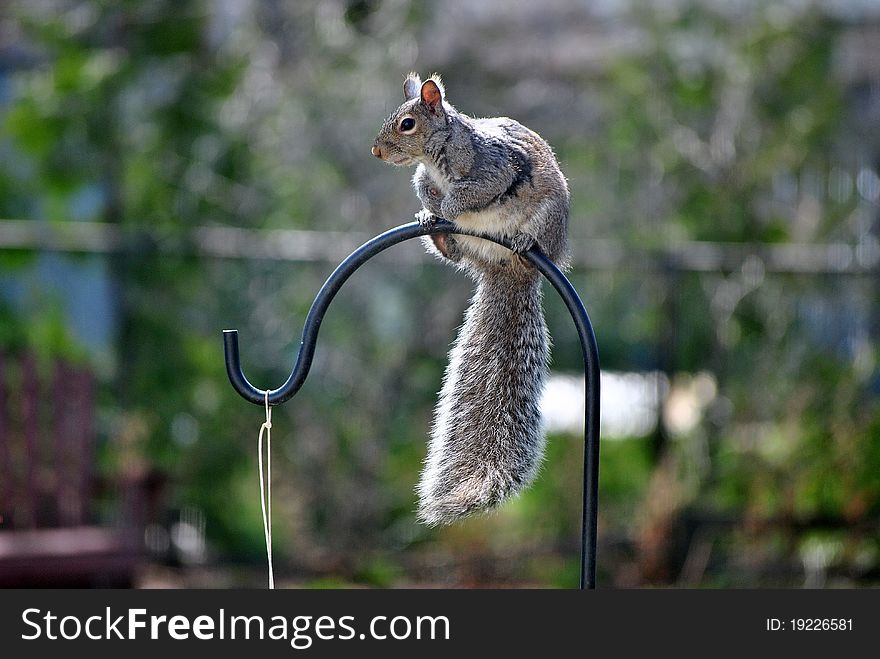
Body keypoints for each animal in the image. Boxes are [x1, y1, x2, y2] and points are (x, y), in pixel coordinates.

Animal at [368, 72, 568, 524]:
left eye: (407, 124)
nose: (376, 151)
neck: (435, 157)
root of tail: (506, 270)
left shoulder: (492, 167)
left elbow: (472, 193)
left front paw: (449, 203)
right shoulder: (424, 178)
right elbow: (424, 189)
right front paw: (429, 207)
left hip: (547, 222)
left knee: (535, 240)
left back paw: (525, 242)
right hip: (470, 248)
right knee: (456, 253)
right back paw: (439, 234)